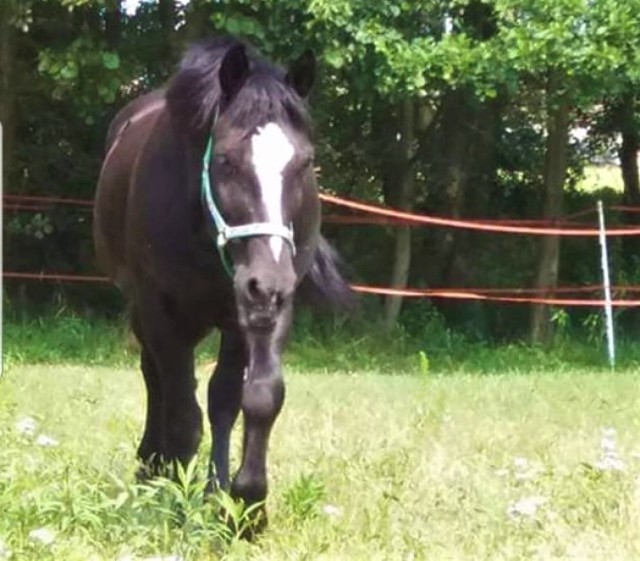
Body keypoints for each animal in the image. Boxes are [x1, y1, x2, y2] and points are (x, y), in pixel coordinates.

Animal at [93, 37, 350, 524]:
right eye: (227, 160)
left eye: (304, 163)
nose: (268, 281)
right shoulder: (159, 308)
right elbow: (184, 416)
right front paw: (178, 499)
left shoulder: (255, 311)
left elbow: (250, 398)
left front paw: (242, 503)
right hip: (143, 310)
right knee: (156, 380)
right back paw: (153, 466)